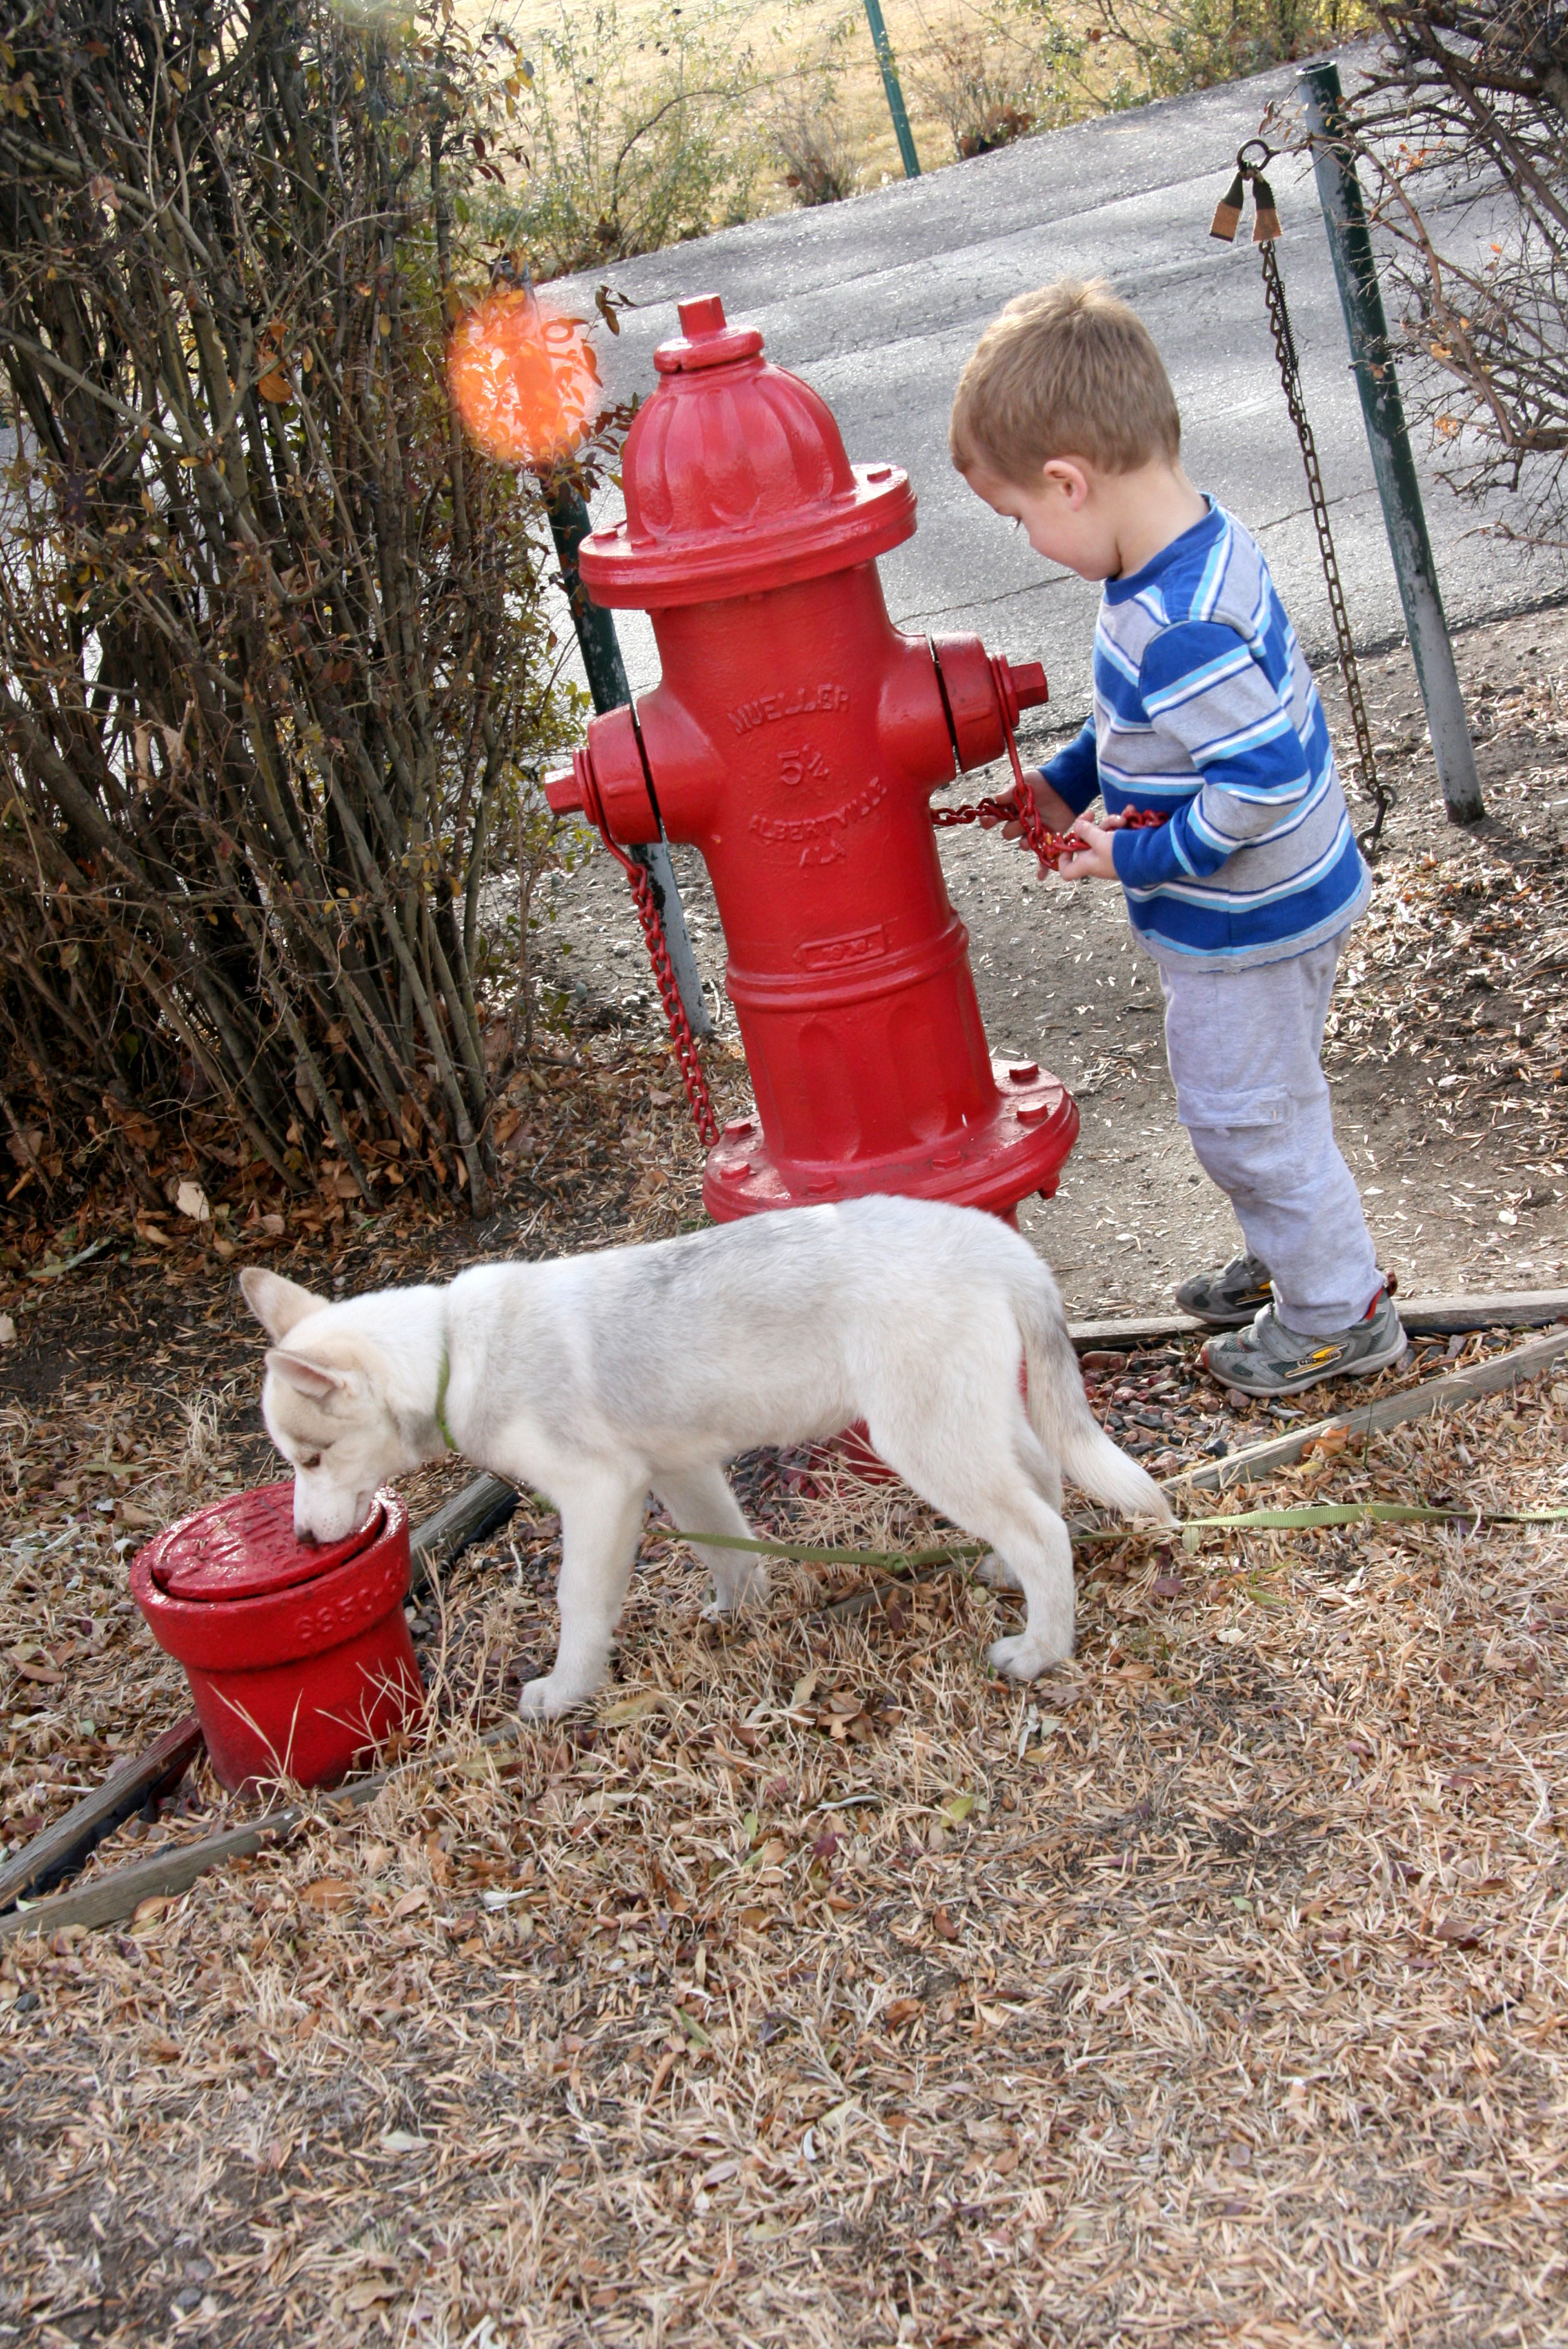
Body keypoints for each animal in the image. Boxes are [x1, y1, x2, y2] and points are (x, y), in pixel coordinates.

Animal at [242, 1194, 1171, 1717]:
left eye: (311, 1460)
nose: (305, 1541)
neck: (452, 1348)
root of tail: (992, 1239)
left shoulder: (599, 1492)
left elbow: (579, 1603)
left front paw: (565, 1692)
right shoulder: (677, 1469)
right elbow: (727, 1548)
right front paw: (741, 1614)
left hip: (926, 1438)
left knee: (1042, 1528)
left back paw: (1040, 1650)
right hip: (970, 1419)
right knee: (1043, 1492)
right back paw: (1009, 1579)